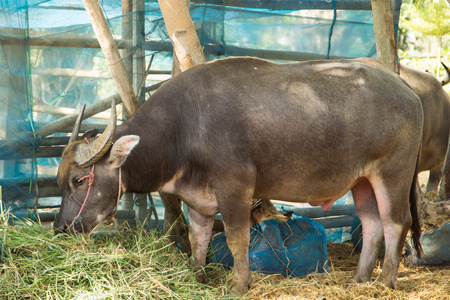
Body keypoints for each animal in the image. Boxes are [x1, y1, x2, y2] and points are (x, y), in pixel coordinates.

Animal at [54, 57, 424, 296]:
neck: (184, 128)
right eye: (60, 183)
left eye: (79, 181)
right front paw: (196, 275)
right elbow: (199, 238)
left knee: (395, 222)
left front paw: (238, 284)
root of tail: (407, 90)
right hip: (362, 181)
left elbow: (236, 237)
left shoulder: (234, 186)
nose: (61, 228)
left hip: (393, 172)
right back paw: (359, 279)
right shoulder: (198, 199)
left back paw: (386, 281)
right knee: (372, 224)